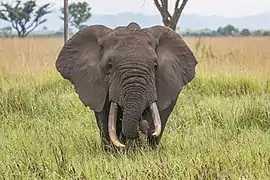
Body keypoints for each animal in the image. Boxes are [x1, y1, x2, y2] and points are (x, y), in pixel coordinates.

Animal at [55, 22, 198, 149]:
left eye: (155, 65)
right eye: (109, 66)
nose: (143, 126)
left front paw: (137, 150)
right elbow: (104, 118)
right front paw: (114, 152)